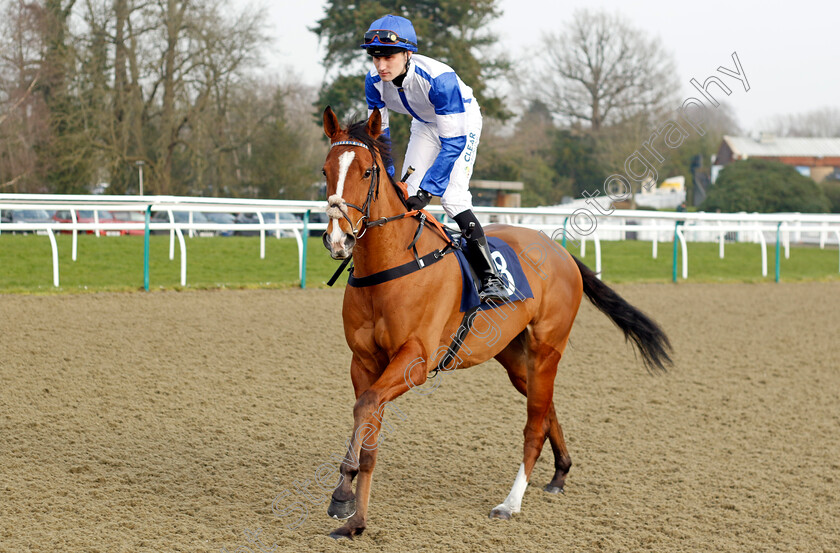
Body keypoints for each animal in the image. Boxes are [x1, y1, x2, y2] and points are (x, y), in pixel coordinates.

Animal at [318, 105, 672, 536]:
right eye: (325, 170)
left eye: (367, 171)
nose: (339, 240)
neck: (393, 265)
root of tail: (560, 251)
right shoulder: (364, 361)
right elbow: (365, 418)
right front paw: (348, 504)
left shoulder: (413, 361)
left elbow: (367, 407)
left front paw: (349, 508)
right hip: (516, 357)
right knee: (546, 406)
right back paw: (560, 473)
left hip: (546, 349)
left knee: (534, 424)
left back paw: (511, 502)